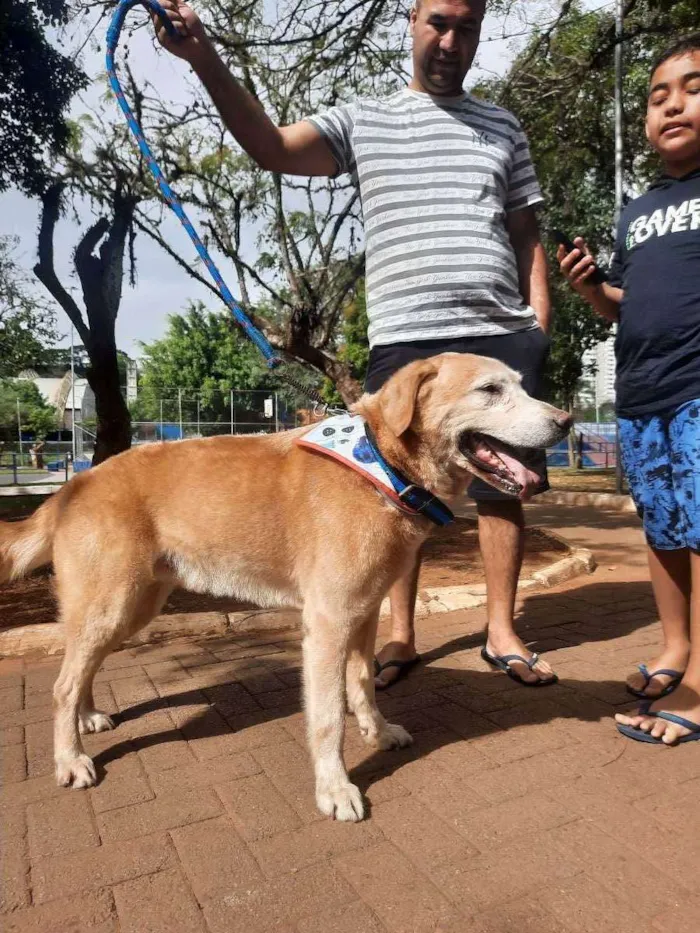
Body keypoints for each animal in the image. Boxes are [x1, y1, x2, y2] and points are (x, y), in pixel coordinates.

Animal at [1, 354, 568, 820]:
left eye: (521, 384)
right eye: (490, 389)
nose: (565, 421)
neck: (380, 465)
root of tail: (72, 486)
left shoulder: (365, 612)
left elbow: (362, 684)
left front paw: (378, 733)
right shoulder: (328, 624)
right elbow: (328, 718)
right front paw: (335, 789)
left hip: (132, 606)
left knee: (81, 669)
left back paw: (88, 716)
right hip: (113, 604)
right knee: (61, 683)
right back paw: (71, 759)